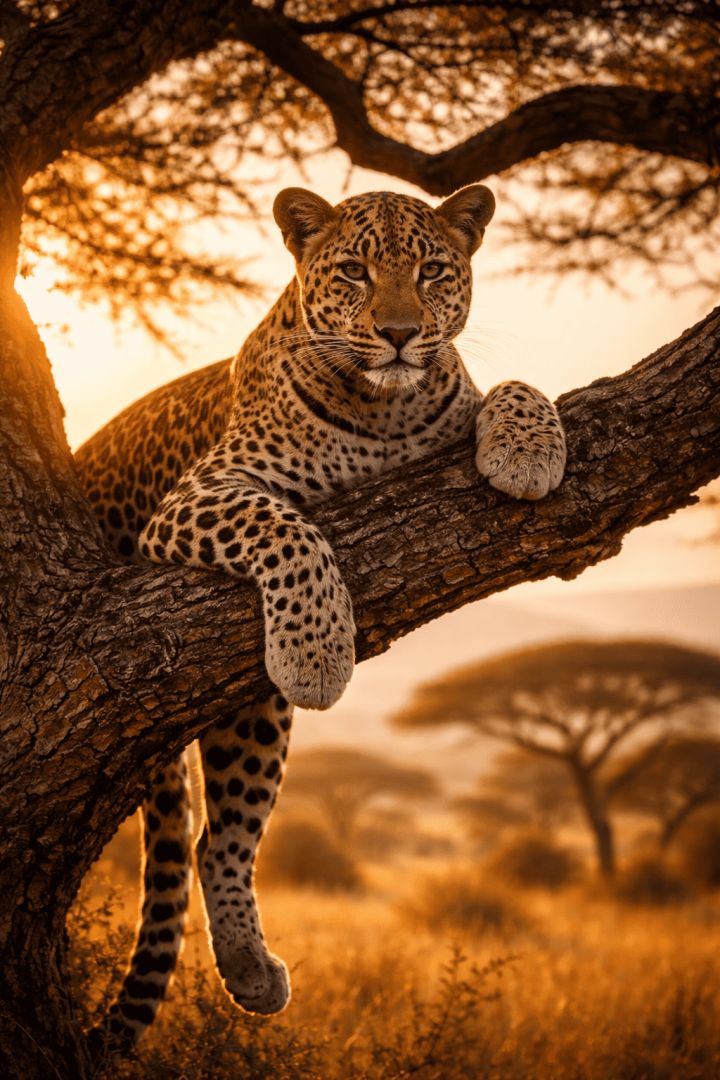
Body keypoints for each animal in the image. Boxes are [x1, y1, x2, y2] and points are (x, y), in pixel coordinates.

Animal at [74, 183, 566, 1051]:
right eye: (354, 272)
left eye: (433, 271)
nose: (400, 334)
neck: (384, 413)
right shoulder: (200, 496)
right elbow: (289, 528)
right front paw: (314, 653)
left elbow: (513, 383)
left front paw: (530, 451)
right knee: (211, 838)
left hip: (248, 714)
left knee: (218, 840)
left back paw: (249, 971)